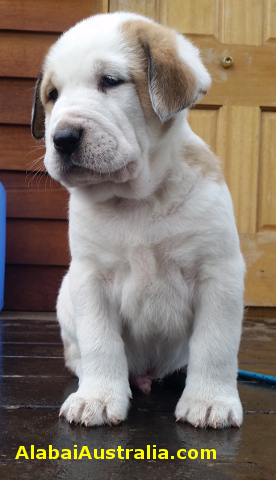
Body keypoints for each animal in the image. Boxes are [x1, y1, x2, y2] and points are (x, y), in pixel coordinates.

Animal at [31, 11, 245, 430]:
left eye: (111, 81)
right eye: (53, 95)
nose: (62, 138)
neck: (137, 201)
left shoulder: (218, 272)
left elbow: (215, 343)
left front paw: (209, 400)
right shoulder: (90, 278)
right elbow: (100, 342)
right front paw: (97, 398)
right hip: (66, 295)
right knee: (79, 351)